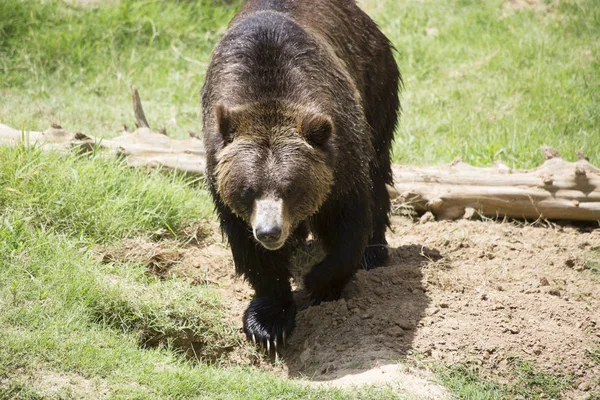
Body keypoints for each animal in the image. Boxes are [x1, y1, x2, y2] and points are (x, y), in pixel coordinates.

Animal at [202, 0, 404, 350]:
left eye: (291, 188)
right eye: (247, 190)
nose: (269, 232)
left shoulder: (341, 154)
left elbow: (349, 221)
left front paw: (320, 283)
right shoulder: (218, 166)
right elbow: (250, 250)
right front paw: (268, 323)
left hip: (376, 83)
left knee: (379, 169)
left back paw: (374, 251)